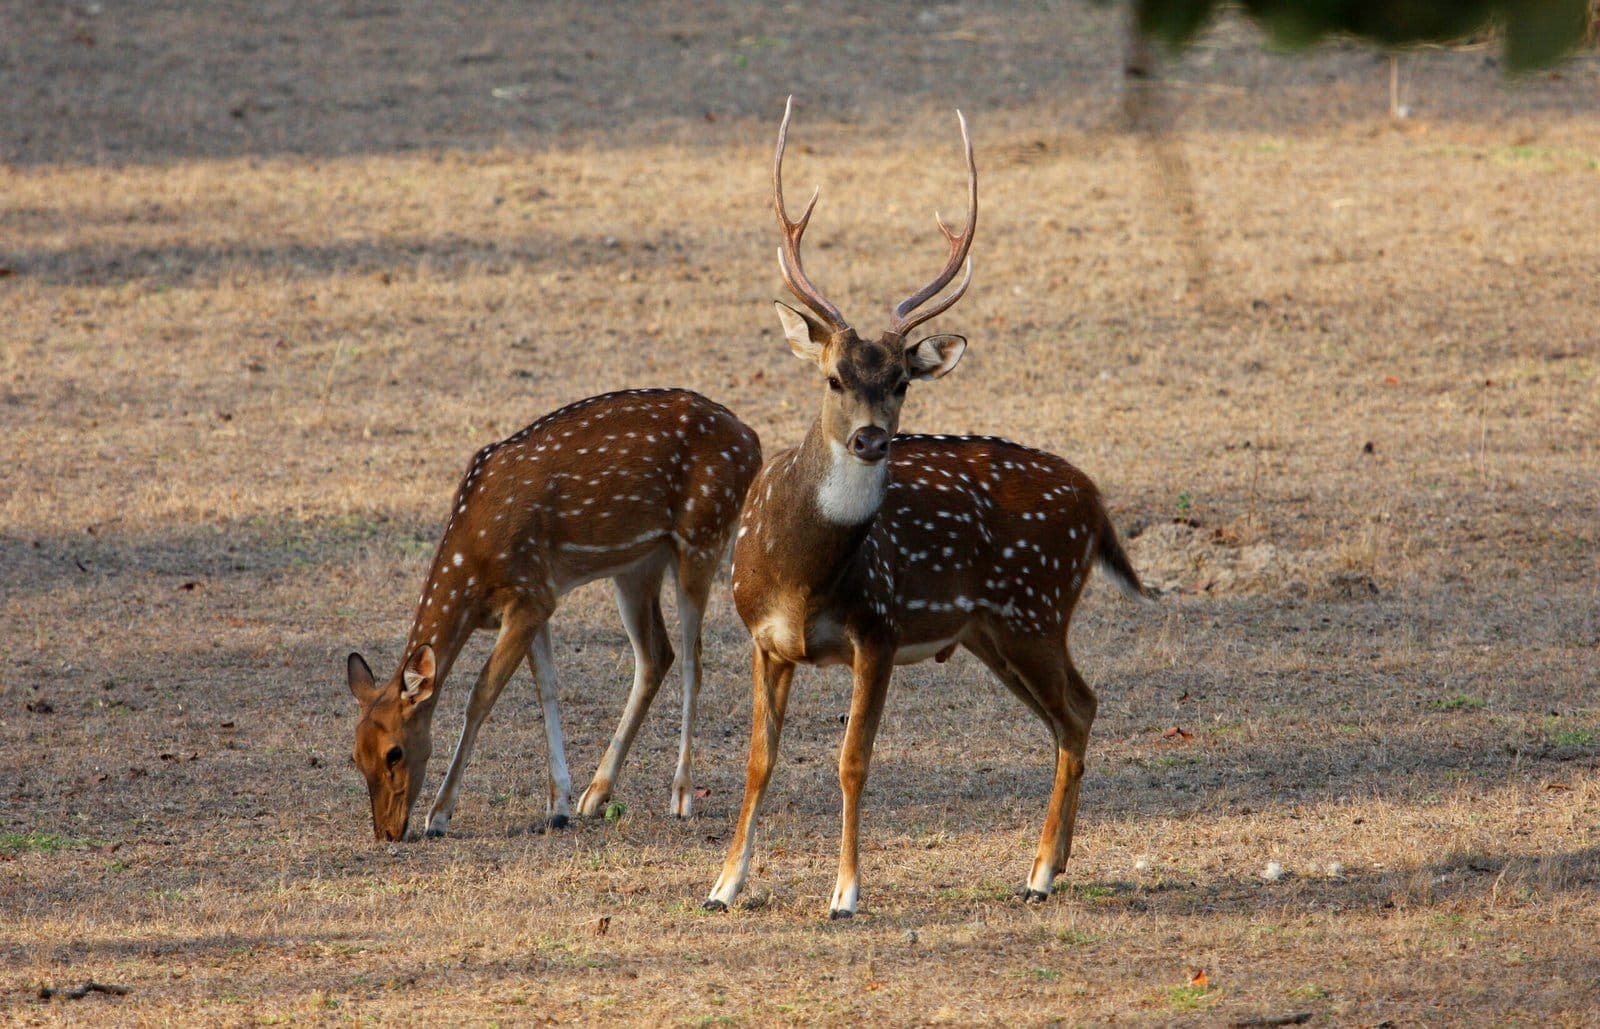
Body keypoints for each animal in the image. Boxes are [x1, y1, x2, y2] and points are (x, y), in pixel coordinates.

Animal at [347, 388, 762, 842]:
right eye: (355, 755)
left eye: (395, 752)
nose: (386, 831)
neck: (474, 569)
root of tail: (752, 441)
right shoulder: (538, 597)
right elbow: (546, 685)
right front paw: (558, 804)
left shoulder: (529, 596)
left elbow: (481, 694)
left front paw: (438, 815)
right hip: (637, 565)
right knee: (656, 655)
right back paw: (595, 795)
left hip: (702, 537)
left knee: (693, 661)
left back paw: (681, 794)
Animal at [702, 99, 1151, 918]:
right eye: (833, 376)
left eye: (902, 381)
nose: (871, 437)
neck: (799, 575)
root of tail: (1096, 501)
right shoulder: (761, 636)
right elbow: (758, 760)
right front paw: (722, 886)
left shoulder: (878, 628)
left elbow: (852, 760)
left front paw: (845, 893)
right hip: (991, 631)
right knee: (1076, 708)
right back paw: (1054, 863)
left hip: (1034, 607)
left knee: (1077, 707)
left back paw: (1040, 870)